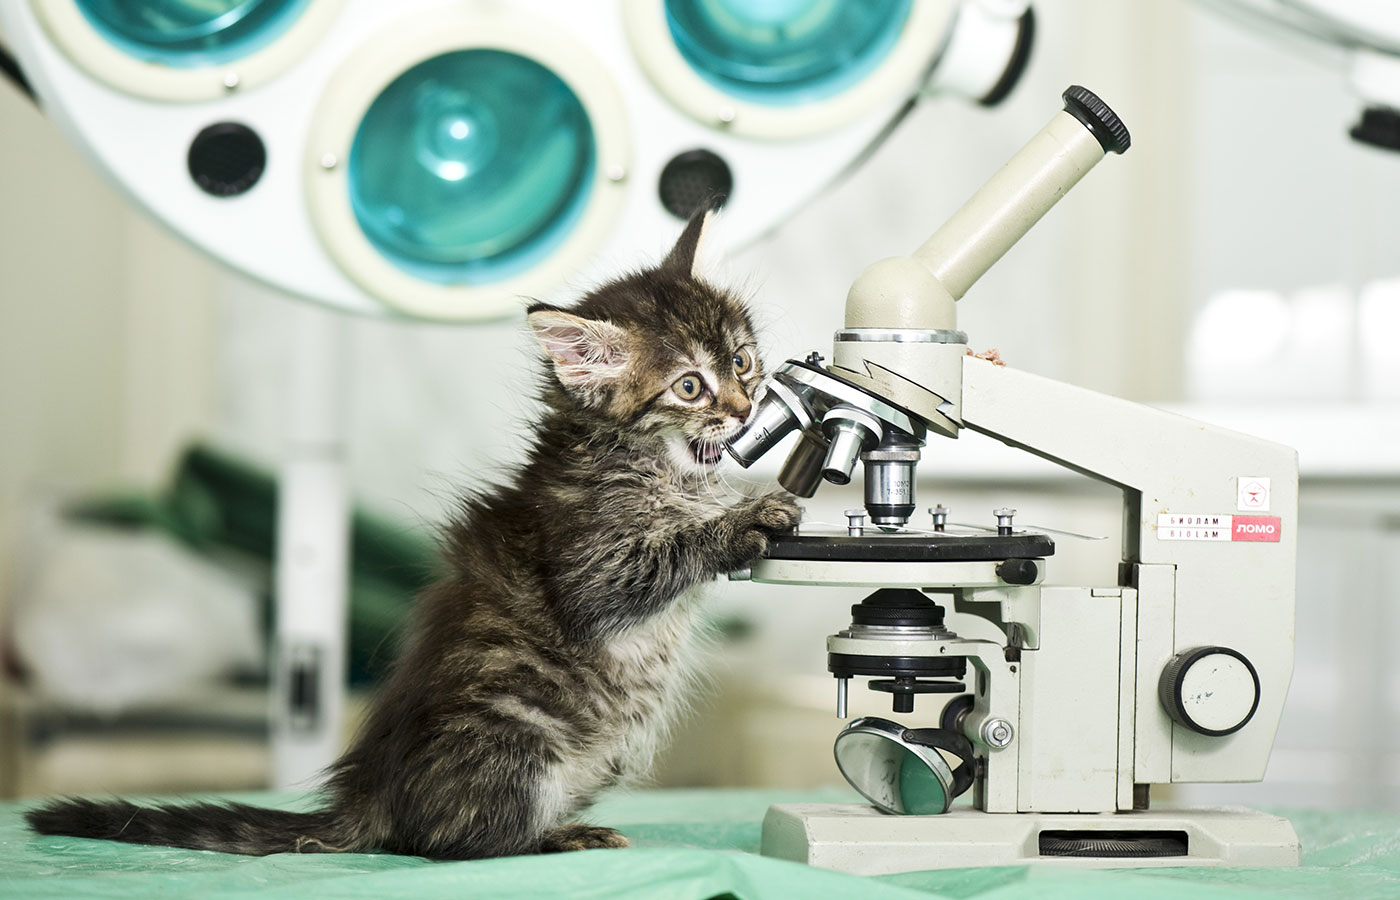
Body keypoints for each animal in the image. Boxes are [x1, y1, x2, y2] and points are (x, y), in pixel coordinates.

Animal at [27, 202, 806, 856]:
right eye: (689, 387)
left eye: (742, 359)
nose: (744, 410)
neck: (650, 461)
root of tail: (371, 794)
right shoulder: (591, 566)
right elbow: (668, 550)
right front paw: (744, 520)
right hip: (519, 736)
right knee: (449, 840)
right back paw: (557, 837)